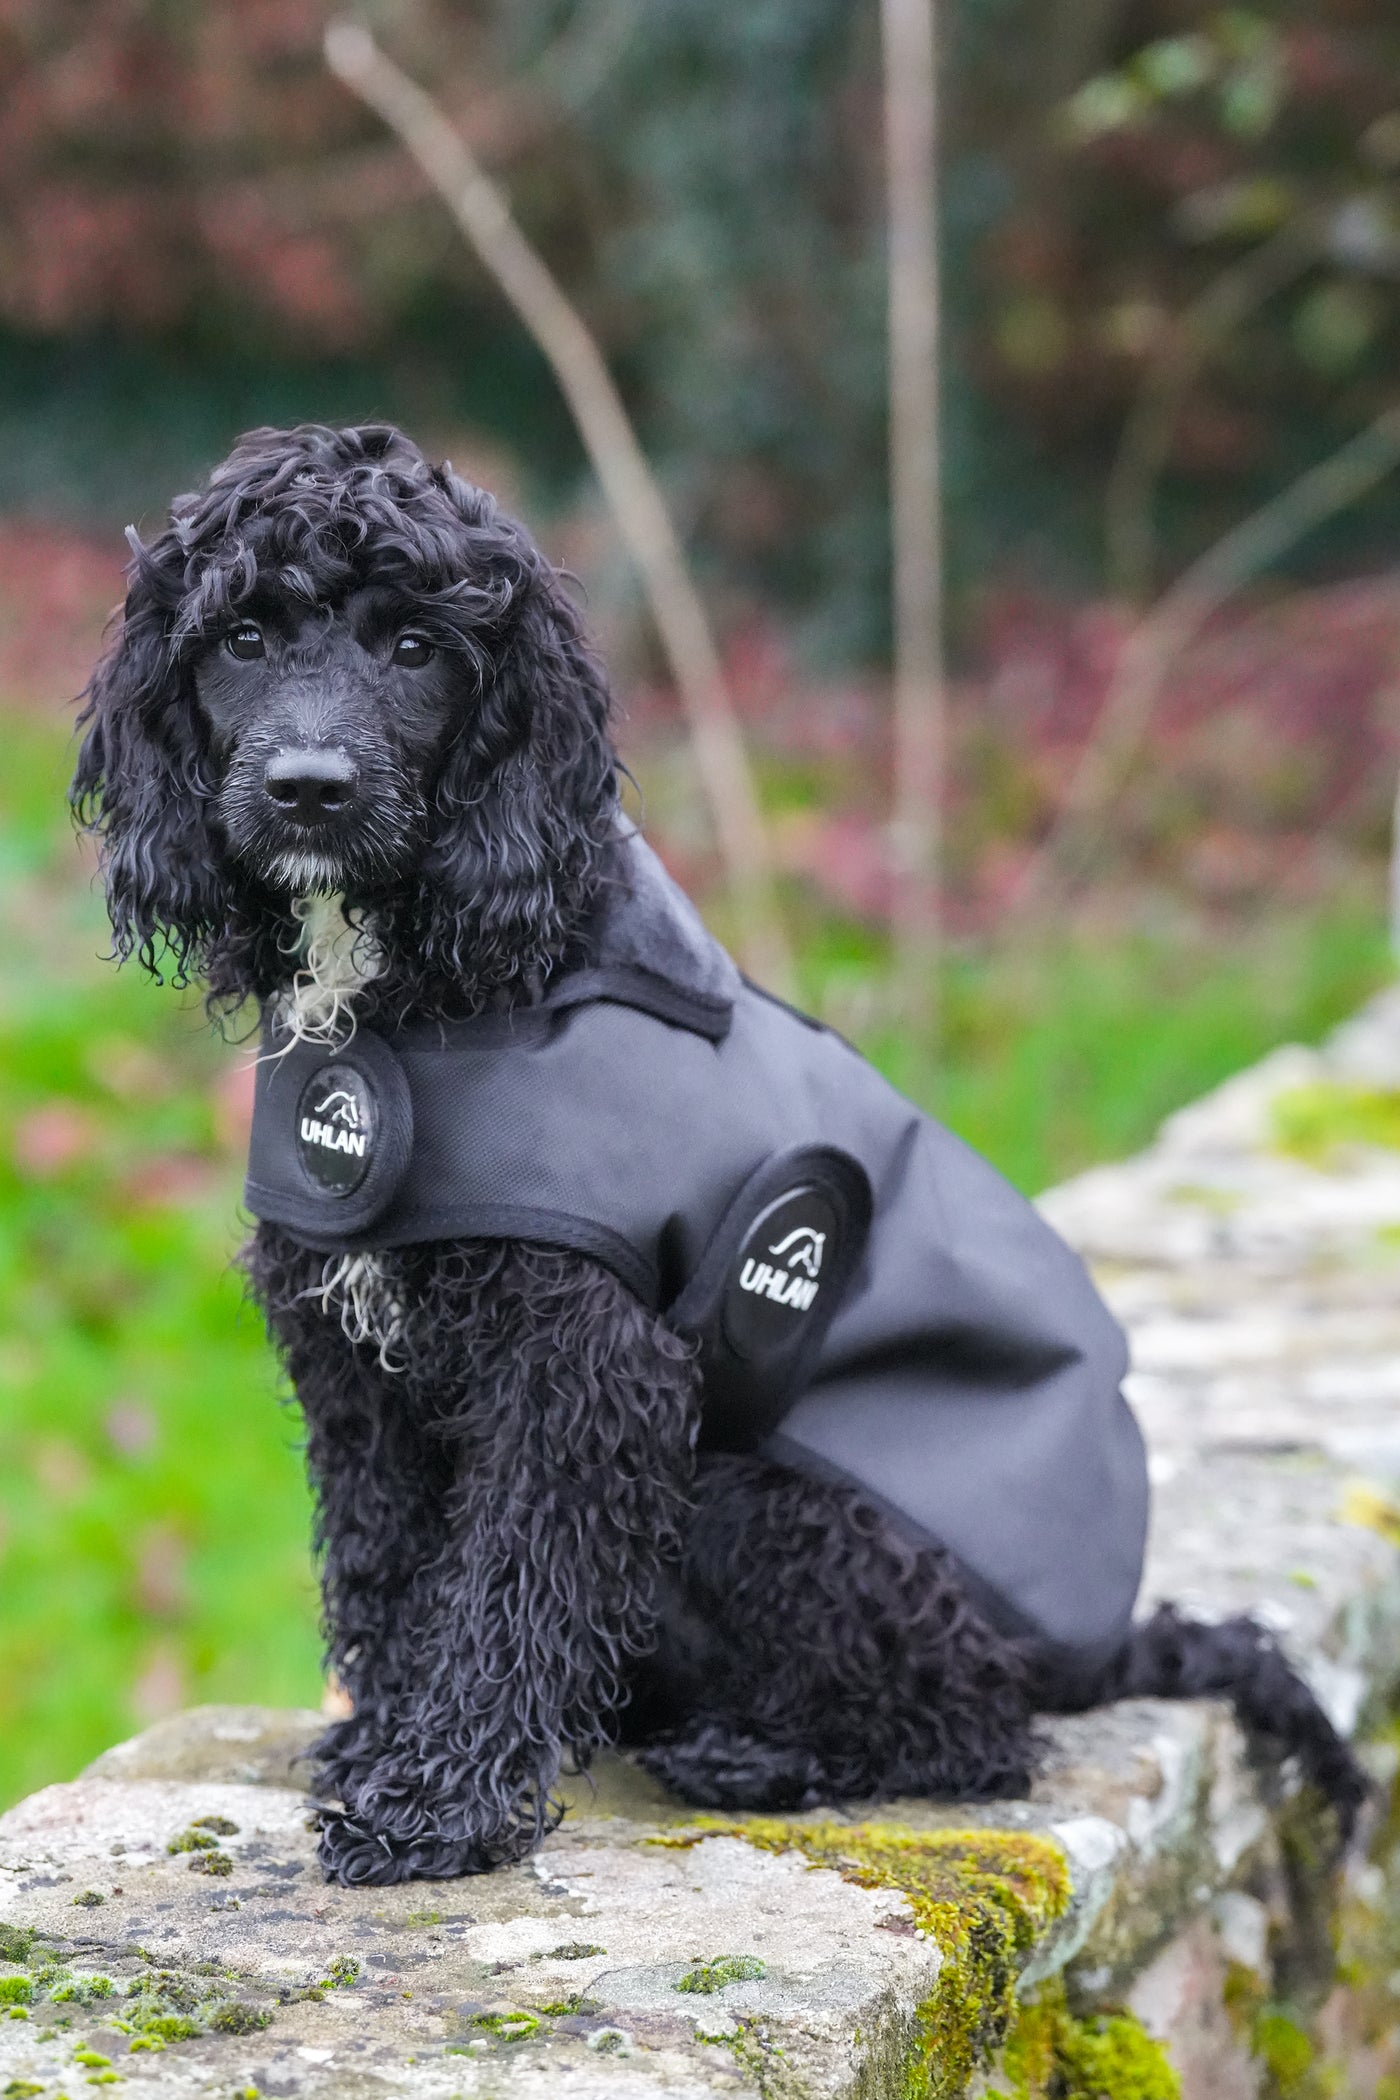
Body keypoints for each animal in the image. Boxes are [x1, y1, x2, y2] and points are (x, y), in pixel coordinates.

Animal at [68, 417, 1368, 1881]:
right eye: (240, 639)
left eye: (414, 647)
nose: (308, 790)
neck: (441, 993)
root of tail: (1099, 1647)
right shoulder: (354, 1363)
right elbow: (389, 1565)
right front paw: (385, 1741)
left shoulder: (587, 1366)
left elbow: (511, 1581)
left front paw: (437, 1807)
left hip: (771, 1499)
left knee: (977, 1734)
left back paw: (752, 1754)